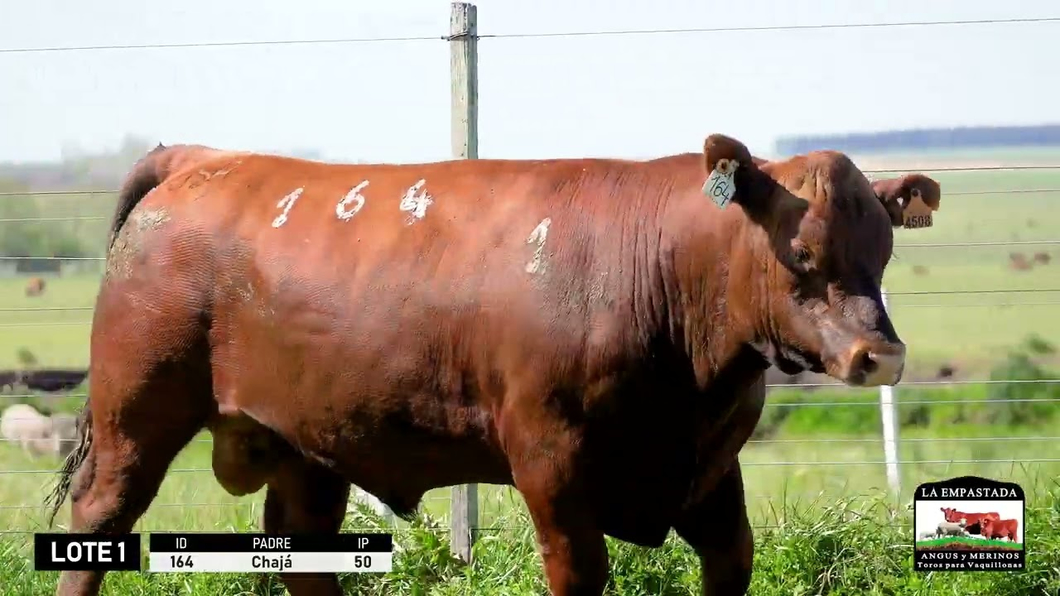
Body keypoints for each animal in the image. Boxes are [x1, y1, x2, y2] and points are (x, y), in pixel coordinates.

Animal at [49, 134, 941, 593]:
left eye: (883, 254)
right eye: (803, 254)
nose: (880, 354)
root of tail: (203, 159)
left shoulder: (711, 474)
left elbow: (732, 560)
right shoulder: (553, 467)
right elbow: (580, 572)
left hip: (311, 443)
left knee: (304, 549)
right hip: (137, 414)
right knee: (99, 519)